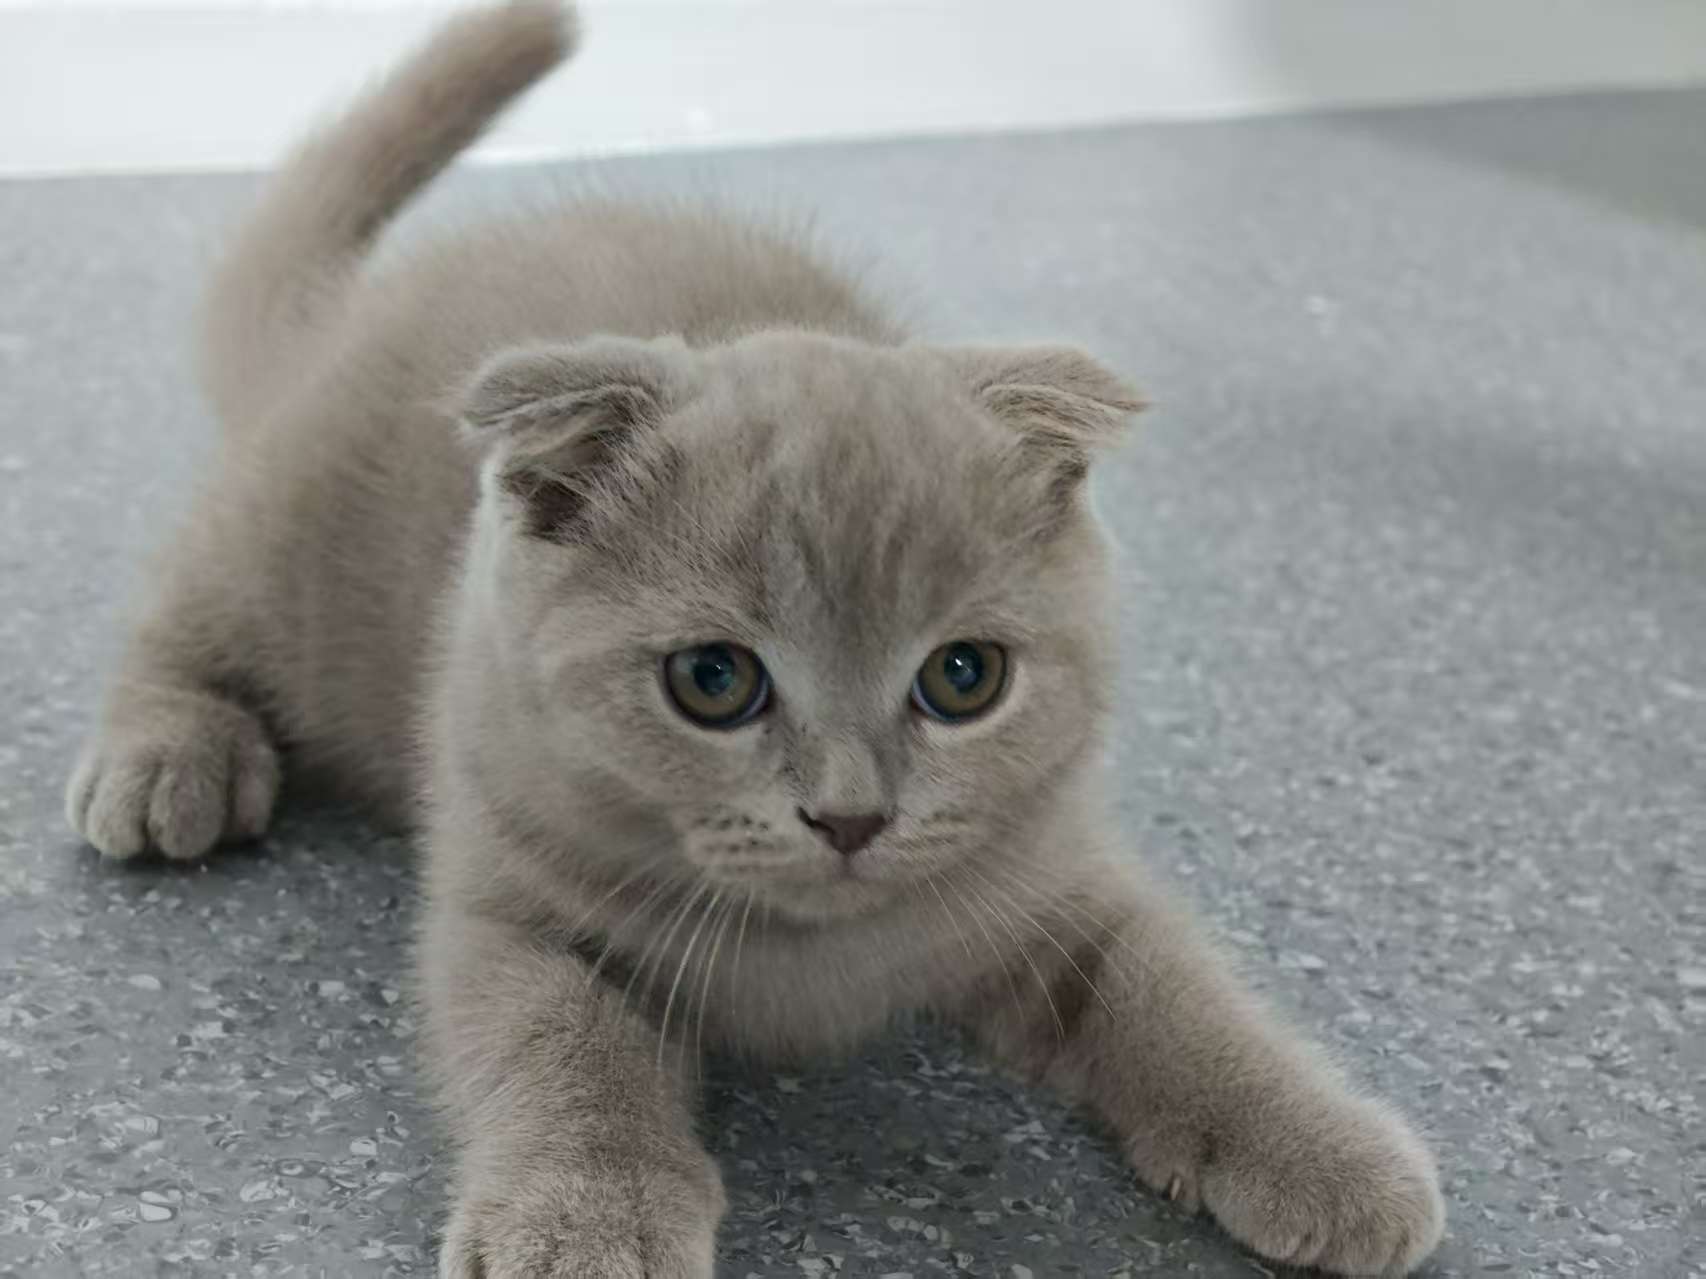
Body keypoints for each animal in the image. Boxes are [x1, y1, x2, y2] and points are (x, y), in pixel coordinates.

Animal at [64, 4, 1446, 1275]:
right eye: (713, 681)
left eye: (963, 677)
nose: (850, 815)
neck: (809, 953)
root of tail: (349, 311)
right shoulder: (503, 893)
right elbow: (558, 1035)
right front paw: (589, 1216)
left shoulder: (1054, 873)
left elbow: (1173, 992)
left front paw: (1323, 1150)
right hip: (286, 550)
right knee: (179, 605)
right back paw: (168, 758)